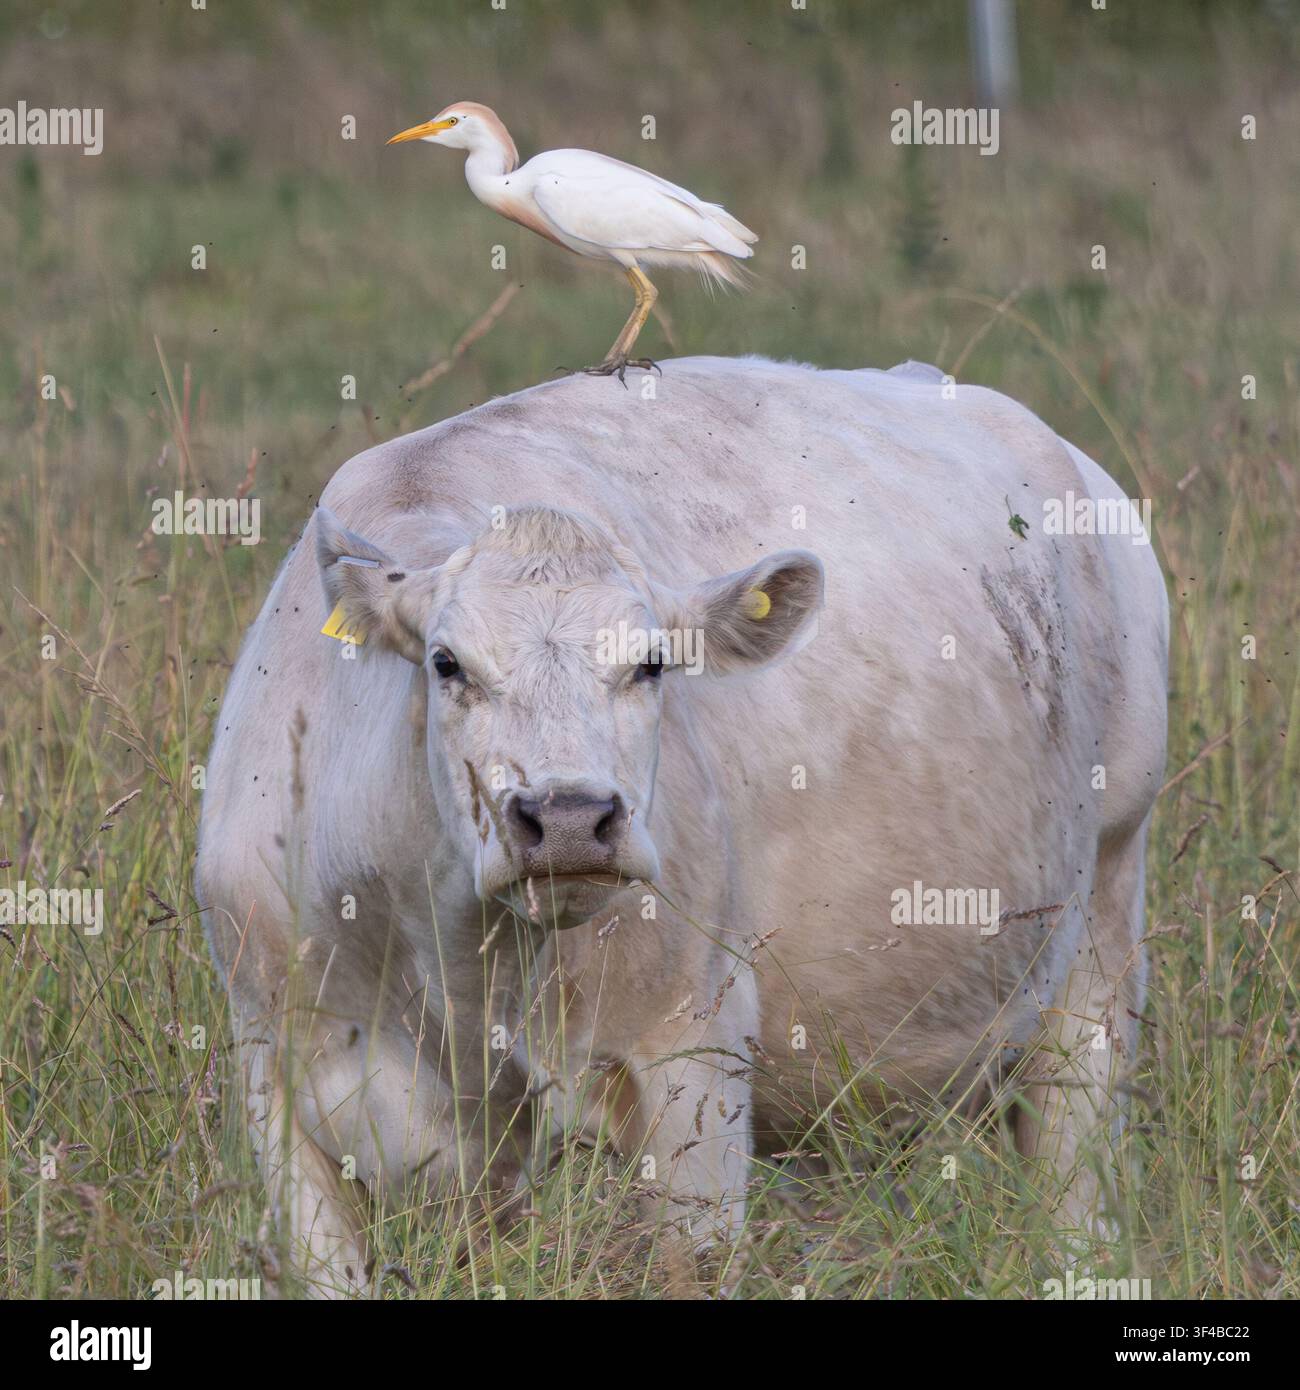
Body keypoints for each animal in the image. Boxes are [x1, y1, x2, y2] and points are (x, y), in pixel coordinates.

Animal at [196, 356, 1168, 1296]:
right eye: (445, 662)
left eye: (652, 664)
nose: (569, 819)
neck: (453, 968)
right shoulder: (276, 1081)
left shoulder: (688, 1053)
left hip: (1100, 952)